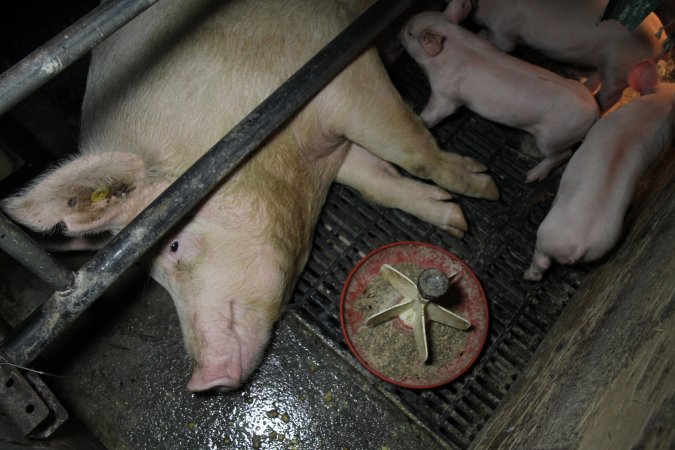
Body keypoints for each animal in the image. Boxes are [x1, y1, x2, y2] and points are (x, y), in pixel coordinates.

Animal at [0, 0, 496, 392]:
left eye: (174, 245)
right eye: (147, 271)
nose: (201, 383)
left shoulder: (341, 68)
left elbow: (413, 151)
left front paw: (483, 188)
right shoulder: (324, 144)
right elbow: (375, 179)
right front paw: (455, 218)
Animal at [398, 14, 600, 183]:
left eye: (410, 32)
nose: (400, 30)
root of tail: (595, 110)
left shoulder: (445, 94)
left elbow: (438, 111)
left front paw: (419, 119)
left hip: (554, 138)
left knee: (563, 154)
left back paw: (530, 177)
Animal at [446, 0, 668, 111]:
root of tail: (662, 40)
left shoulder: (504, 32)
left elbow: (497, 45)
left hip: (620, 67)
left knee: (610, 96)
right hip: (605, 63)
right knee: (596, 78)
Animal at [524, 62, 672, 282]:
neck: (658, 106)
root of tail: (578, 245)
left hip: (546, 235)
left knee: (540, 262)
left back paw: (526, 275)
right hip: (603, 245)